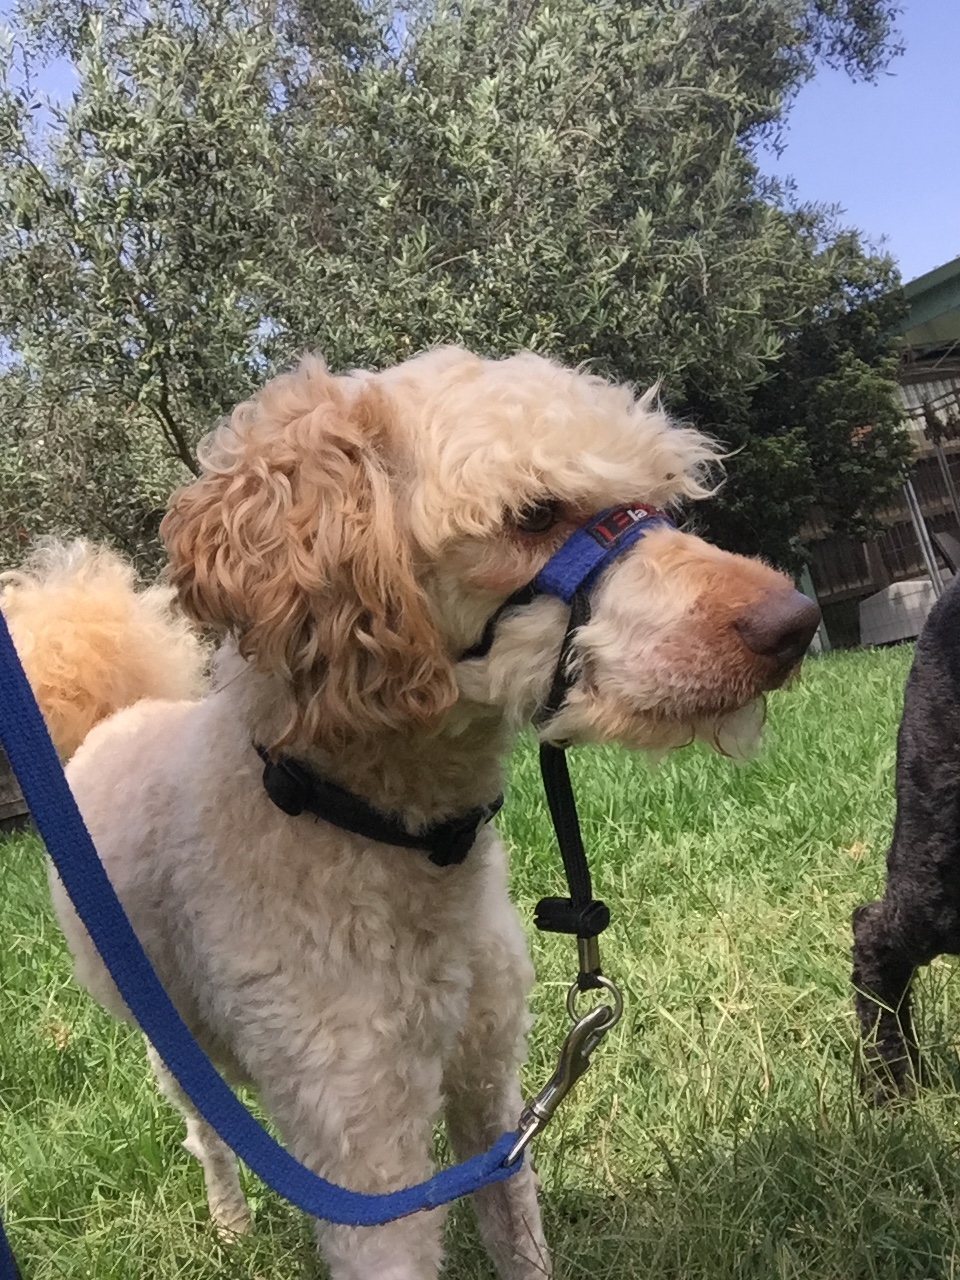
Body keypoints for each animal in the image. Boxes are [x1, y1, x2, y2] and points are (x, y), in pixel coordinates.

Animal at [28, 347, 819, 1279]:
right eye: (534, 514)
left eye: (660, 496)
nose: (796, 623)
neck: (386, 835)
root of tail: (122, 713)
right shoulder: (366, 1161)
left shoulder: (494, 1092)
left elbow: (517, 1234)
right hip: (172, 1047)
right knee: (207, 1135)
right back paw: (229, 1223)